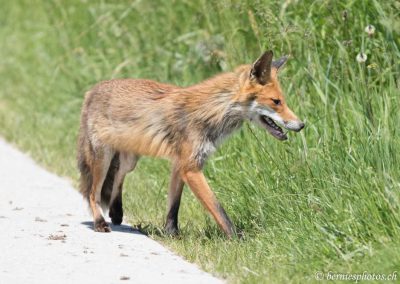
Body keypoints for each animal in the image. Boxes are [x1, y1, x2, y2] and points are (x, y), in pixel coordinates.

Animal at [77, 50, 304, 237]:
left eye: (283, 101)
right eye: (276, 102)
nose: (302, 125)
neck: (212, 111)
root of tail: (92, 90)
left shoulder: (180, 164)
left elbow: (173, 206)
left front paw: (172, 234)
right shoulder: (191, 167)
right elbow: (218, 209)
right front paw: (237, 239)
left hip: (130, 159)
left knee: (117, 176)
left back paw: (116, 211)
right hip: (103, 157)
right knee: (93, 193)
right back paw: (99, 222)